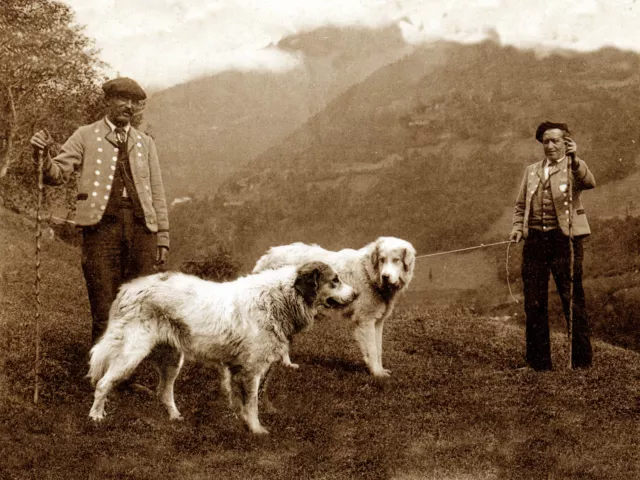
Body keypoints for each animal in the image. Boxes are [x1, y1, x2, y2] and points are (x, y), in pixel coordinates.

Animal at [87, 260, 358, 434]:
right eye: (335, 280)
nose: (356, 294)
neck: (278, 298)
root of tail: (128, 288)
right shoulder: (251, 370)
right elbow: (252, 403)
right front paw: (257, 430)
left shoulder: (236, 368)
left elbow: (239, 400)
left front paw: (241, 423)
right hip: (131, 352)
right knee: (103, 383)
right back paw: (96, 416)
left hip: (172, 359)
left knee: (164, 391)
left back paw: (175, 417)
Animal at [252, 238, 418, 376]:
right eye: (382, 260)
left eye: (396, 260)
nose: (385, 277)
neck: (369, 272)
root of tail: (268, 255)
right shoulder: (366, 320)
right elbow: (372, 348)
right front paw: (377, 374)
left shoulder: (377, 322)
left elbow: (378, 349)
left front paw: (379, 369)